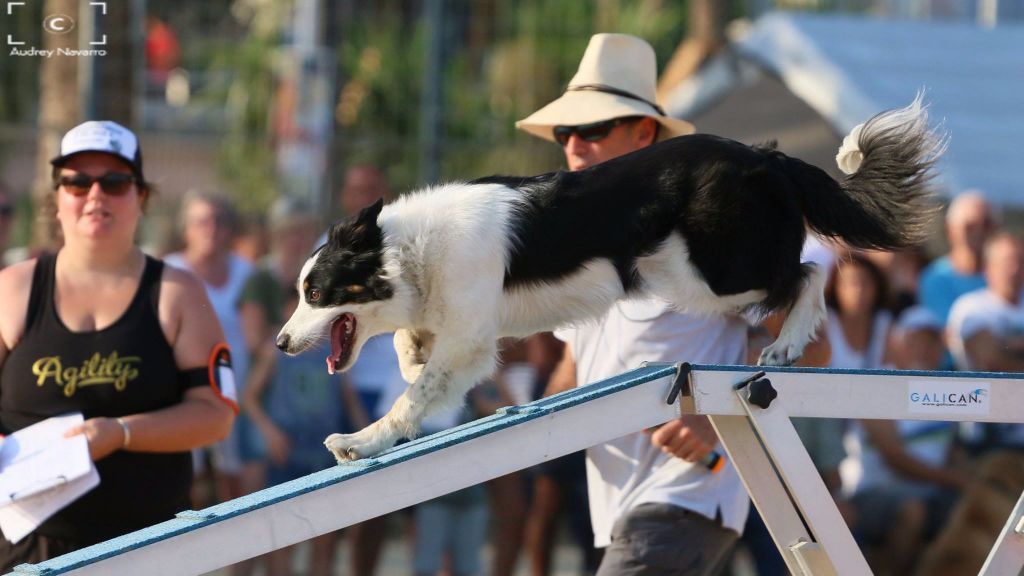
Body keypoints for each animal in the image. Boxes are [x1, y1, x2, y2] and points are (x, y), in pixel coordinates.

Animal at [276, 96, 937, 459]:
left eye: (315, 293)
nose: (280, 343)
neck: (411, 251)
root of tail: (766, 155)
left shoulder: (469, 338)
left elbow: (412, 398)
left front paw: (361, 442)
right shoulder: (453, 327)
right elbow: (411, 353)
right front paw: (414, 361)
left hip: (706, 272)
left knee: (807, 272)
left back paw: (787, 344)